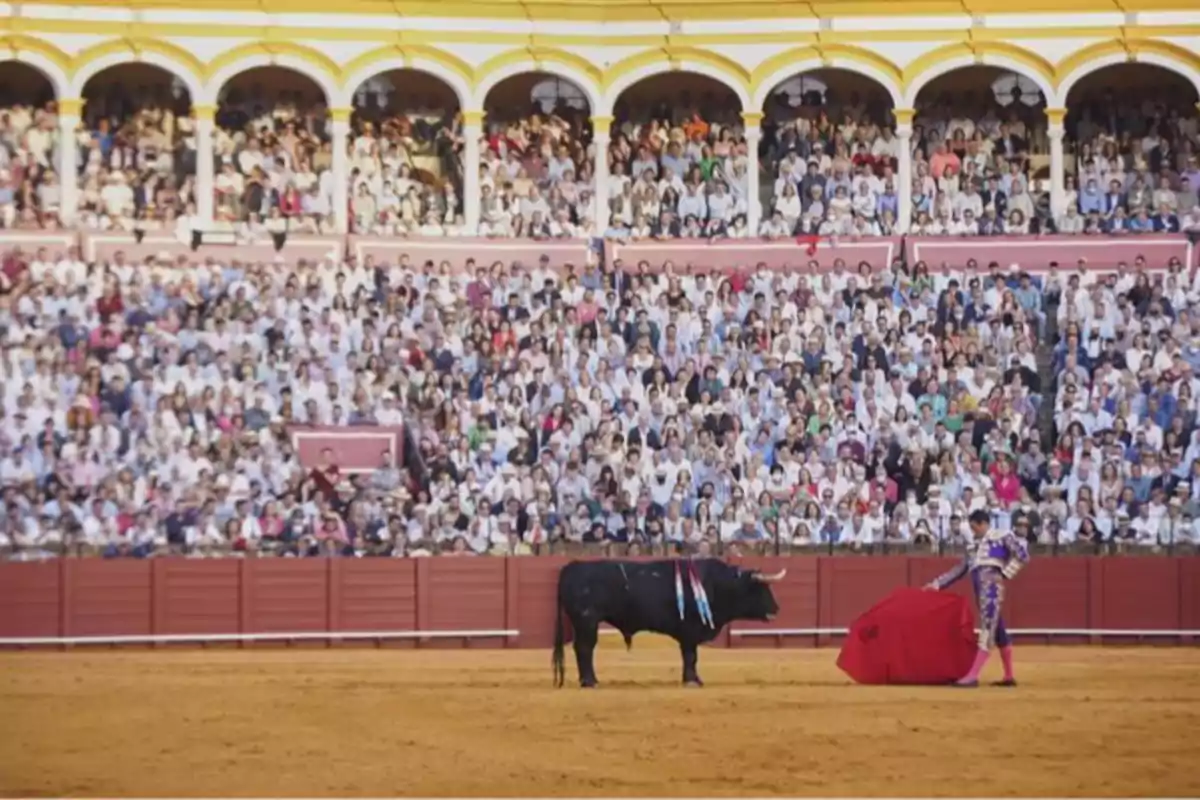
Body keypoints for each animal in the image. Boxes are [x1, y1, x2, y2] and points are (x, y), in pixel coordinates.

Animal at [549, 556, 782, 690]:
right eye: (761, 588)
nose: (776, 610)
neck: (719, 584)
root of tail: (572, 566)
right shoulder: (690, 631)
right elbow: (691, 656)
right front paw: (692, 681)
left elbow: (690, 657)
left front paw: (694, 679)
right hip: (586, 620)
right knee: (585, 648)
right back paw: (589, 682)